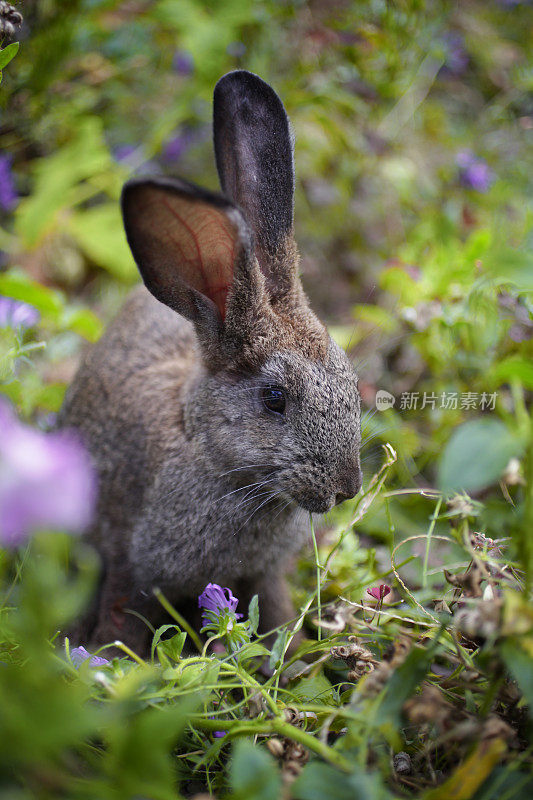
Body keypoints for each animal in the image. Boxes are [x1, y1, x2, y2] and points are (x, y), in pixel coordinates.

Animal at [61, 70, 362, 656]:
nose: (348, 488)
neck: (204, 446)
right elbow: (121, 621)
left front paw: (292, 659)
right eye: (274, 398)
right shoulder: (132, 566)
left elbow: (276, 613)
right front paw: (108, 662)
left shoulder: (263, 575)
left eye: (350, 379)